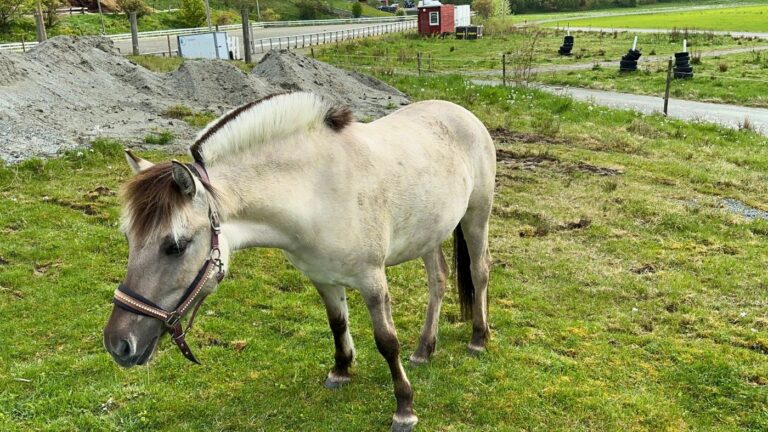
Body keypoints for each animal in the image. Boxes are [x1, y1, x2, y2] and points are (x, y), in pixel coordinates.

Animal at [103, 92, 495, 431]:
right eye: (129, 239)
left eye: (176, 246)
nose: (118, 344)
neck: (316, 192)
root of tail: (462, 113)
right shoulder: (322, 278)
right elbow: (337, 324)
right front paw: (341, 371)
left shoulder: (372, 280)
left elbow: (387, 341)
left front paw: (404, 408)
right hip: (429, 234)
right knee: (439, 281)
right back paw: (425, 349)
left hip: (477, 217)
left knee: (479, 273)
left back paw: (478, 338)